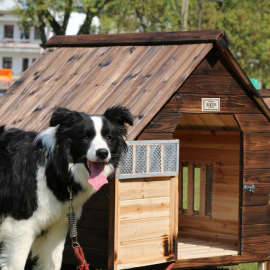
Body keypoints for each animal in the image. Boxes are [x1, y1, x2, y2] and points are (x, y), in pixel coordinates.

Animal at [0, 106, 132, 270]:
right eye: (85, 137)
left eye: (108, 137)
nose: (102, 153)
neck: (55, 168)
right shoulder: (20, 227)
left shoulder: (56, 227)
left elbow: (54, 263)